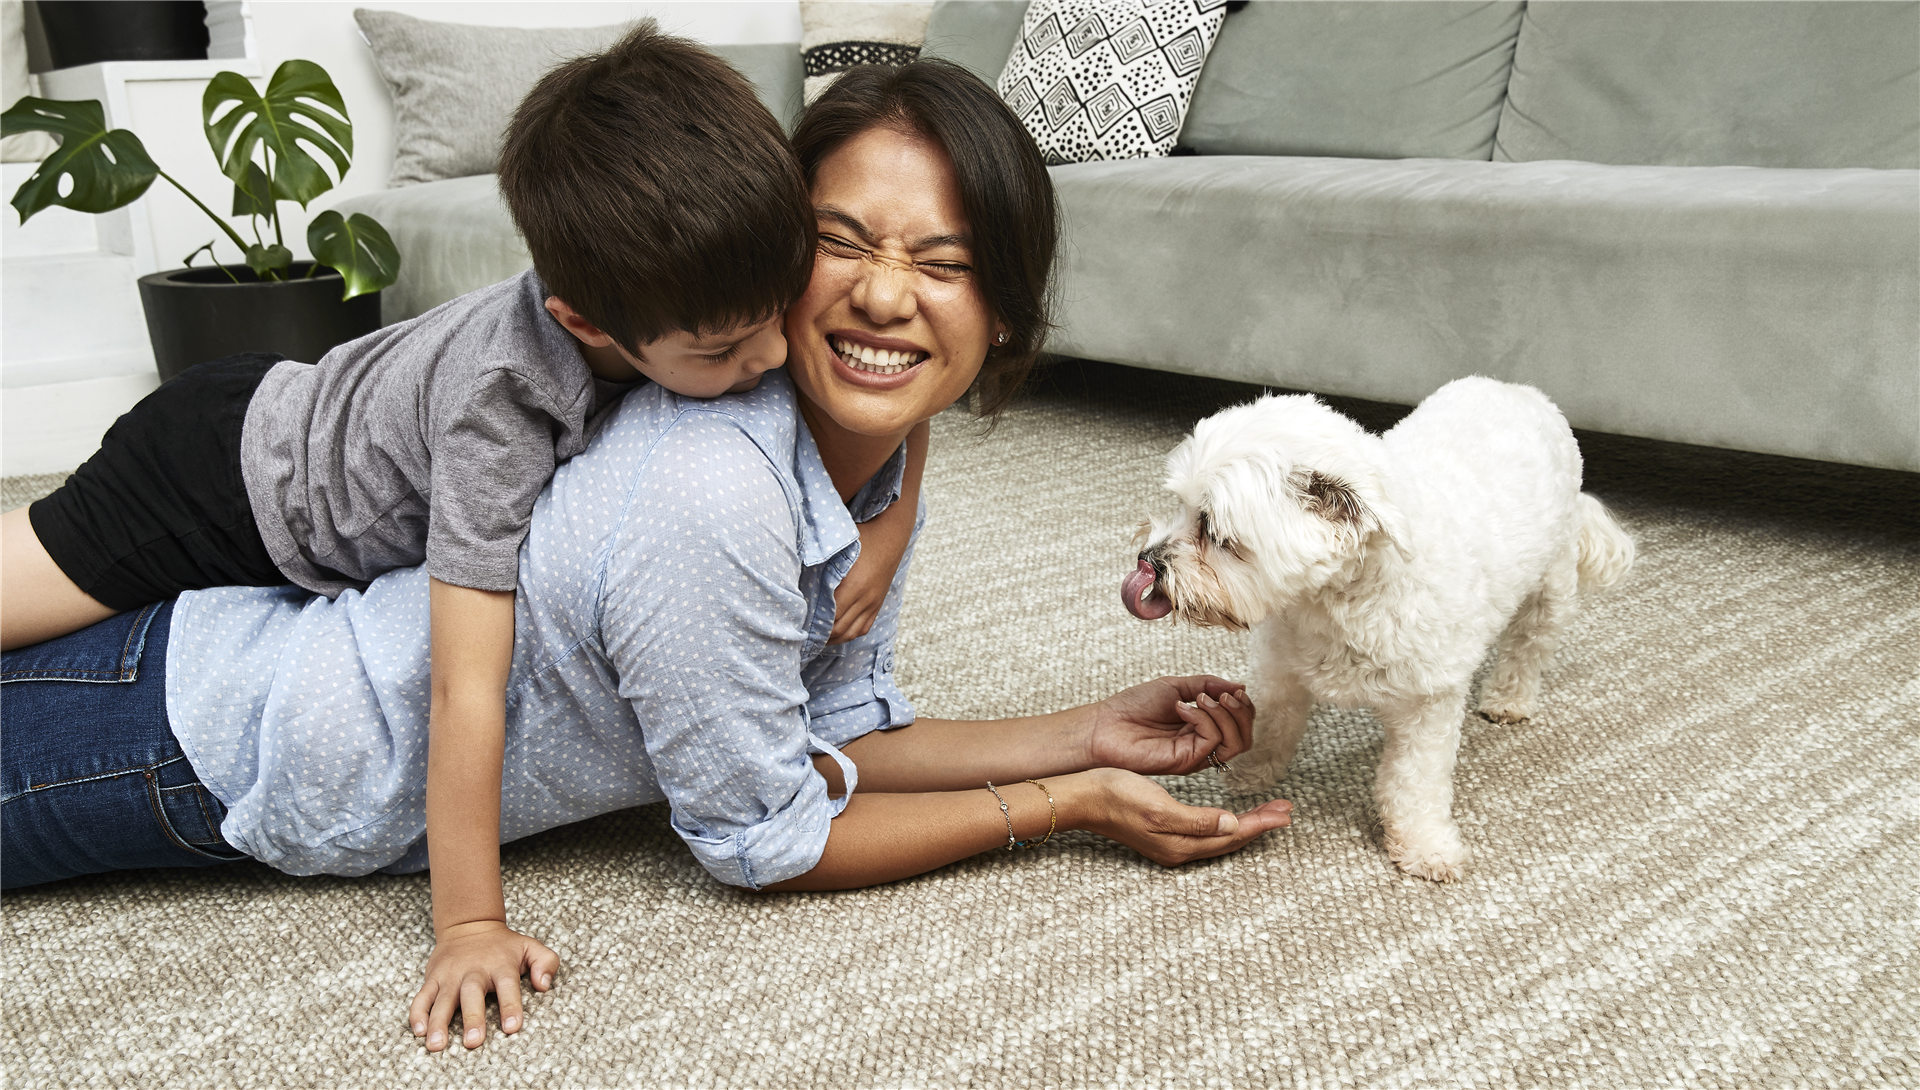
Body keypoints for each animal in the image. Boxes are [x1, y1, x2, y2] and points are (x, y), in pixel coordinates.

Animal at [1123, 377, 1634, 880]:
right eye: (1180, 505)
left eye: (1214, 530)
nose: (1148, 560)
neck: (1334, 601)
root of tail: (1522, 389)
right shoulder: (1281, 665)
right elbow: (1273, 723)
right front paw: (1251, 770)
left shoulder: (1430, 702)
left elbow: (1416, 780)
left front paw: (1425, 844)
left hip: (1551, 583)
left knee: (1530, 644)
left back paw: (1510, 698)